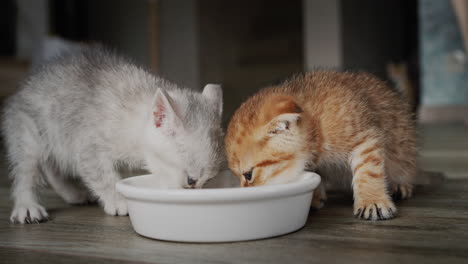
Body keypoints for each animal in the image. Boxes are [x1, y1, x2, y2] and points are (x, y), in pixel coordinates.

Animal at [1, 46, 225, 224]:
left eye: (208, 180)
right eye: (191, 181)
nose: (196, 191)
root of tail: (19, 91)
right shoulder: (88, 146)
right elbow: (103, 176)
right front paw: (119, 200)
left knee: (53, 166)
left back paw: (74, 193)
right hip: (28, 130)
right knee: (27, 169)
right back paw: (26, 205)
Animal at [224, 70, 416, 221]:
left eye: (248, 175)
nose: (243, 191)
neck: (316, 128)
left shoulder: (365, 137)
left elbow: (368, 171)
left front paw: (372, 201)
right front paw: (315, 197)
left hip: (402, 147)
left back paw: (401, 185)